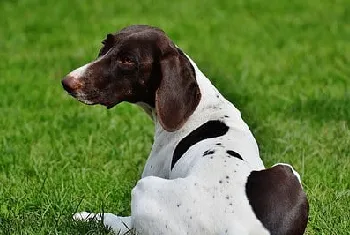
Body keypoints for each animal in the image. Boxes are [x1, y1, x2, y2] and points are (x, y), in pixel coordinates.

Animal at [61, 24, 308, 234]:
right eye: (105, 44)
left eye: (128, 60)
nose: (67, 82)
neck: (202, 106)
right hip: (286, 170)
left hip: (145, 188)